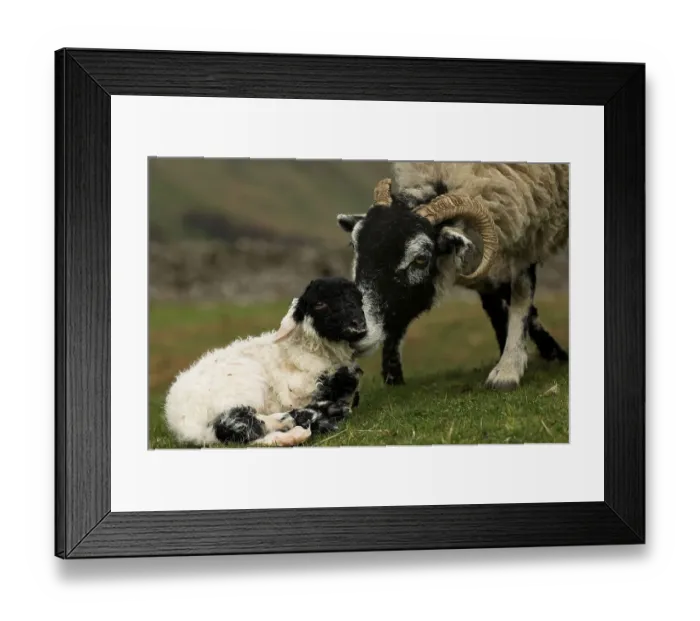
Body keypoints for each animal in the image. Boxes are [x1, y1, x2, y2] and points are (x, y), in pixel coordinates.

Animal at [164, 277, 367, 447]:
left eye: (359, 300)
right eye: (320, 304)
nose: (359, 325)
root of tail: (183, 423)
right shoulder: (295, 393)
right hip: (242, 385)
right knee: (232, 424)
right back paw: (310, 417)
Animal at [337, 162, 569, 391]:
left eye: (420, 259)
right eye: (354, 245)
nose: (355, 331)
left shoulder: (525, 233)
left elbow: (521, 297)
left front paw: (508, 370)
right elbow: (496, 305)